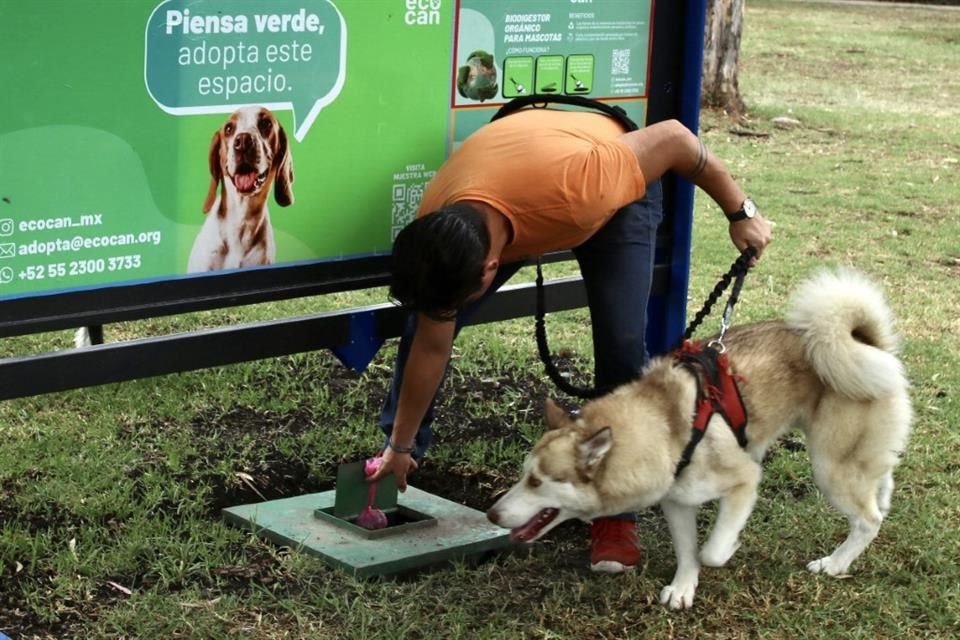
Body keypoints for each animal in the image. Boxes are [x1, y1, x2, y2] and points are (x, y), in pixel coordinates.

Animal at [492, 268, 912, 608]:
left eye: (537, 481)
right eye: (524, 474)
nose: (492, 514)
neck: (667, 426)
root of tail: (867, 344)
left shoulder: (745, 480)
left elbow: (711, 551)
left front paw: (727, 549)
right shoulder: (677, 500)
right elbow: (688, 551)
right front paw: (683, 588)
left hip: (829, 466)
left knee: (868, 520)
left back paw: (836, 562)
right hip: (850, 457)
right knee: (881, 476)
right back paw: (881, 495)